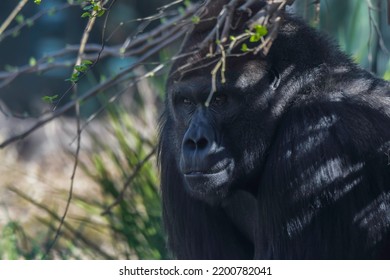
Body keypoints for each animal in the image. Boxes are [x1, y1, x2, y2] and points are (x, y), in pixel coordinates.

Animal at [157, 0, 388, 260]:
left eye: (219, 100)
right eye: (186, 102)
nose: (196, 141)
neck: (301, 90)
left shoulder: (314, 135)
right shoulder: (172, 146)